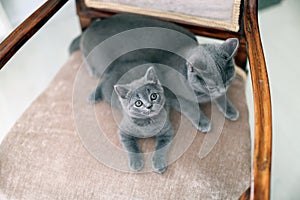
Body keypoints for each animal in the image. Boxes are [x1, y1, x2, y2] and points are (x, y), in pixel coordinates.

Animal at [70, 12, 239, 131]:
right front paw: (203, 122)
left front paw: (230, 109)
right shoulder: (171, 94)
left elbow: (221, 99)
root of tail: (93, 26)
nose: (223, 88)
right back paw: (93, 96)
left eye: (229, 79)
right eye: (213, 85)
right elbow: (190, 107)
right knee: (105, 79)